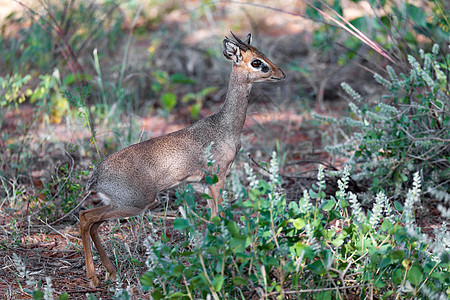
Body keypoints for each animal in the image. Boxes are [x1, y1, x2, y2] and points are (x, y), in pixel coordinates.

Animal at [79, 31, 284, 288]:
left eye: (263, 54)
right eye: (256, 62)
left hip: (119, 204)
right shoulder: (218, 178)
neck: (224, 126)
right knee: (85, 218)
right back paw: (94, 278)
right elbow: (218, 218)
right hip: (136, 203)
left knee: (93, 224)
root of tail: (95, 177)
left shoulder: (202, 185)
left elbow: (212, 220)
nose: (281, 74)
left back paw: (112, 273)